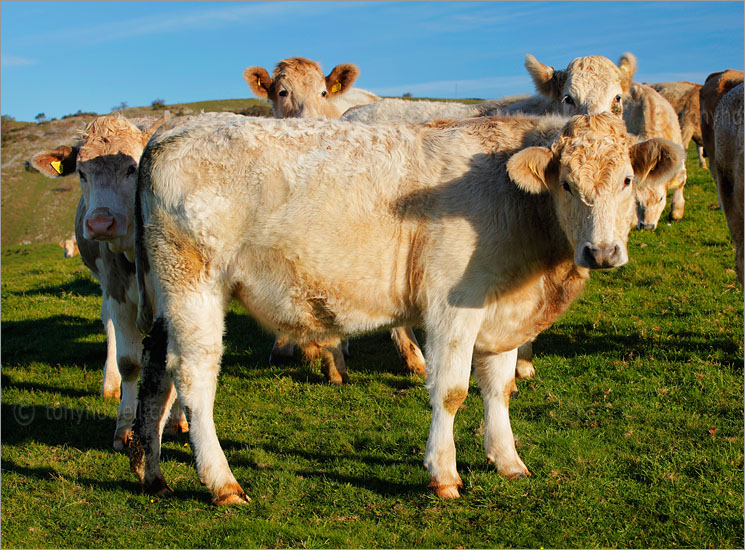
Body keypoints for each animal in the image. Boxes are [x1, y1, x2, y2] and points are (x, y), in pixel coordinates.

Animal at [30, 113, 189, 452]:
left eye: (132, 168)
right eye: (81, 172)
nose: (100, 223)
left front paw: (174, 419)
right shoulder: (116, 291)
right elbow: (129, 361)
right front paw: (124, 429)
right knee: (110, 327)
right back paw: (110, 384)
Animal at [129, 113, 680, 508]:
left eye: (626, 180)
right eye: (566, 183)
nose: (602, 252)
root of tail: (173, 129)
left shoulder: (500, 311)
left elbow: (498, 387)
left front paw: (507, 460)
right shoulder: (453, 306)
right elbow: (453, 391)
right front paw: (444, 474)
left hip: (168, 294)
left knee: (156, 370)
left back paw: (150, 471)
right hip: (196, 286)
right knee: (194, 377)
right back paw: (221, 482)